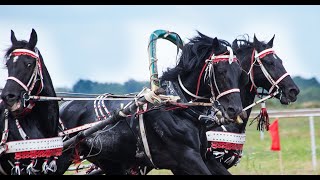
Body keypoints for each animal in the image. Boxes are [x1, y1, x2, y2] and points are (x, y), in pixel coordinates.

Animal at [58, 31, 248, 175]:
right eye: (220, 71)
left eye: (240, 72)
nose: (235, 110)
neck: (178, 108)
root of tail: (61, 107)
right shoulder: (187, 158)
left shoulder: (204, 158)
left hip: (109, 161)